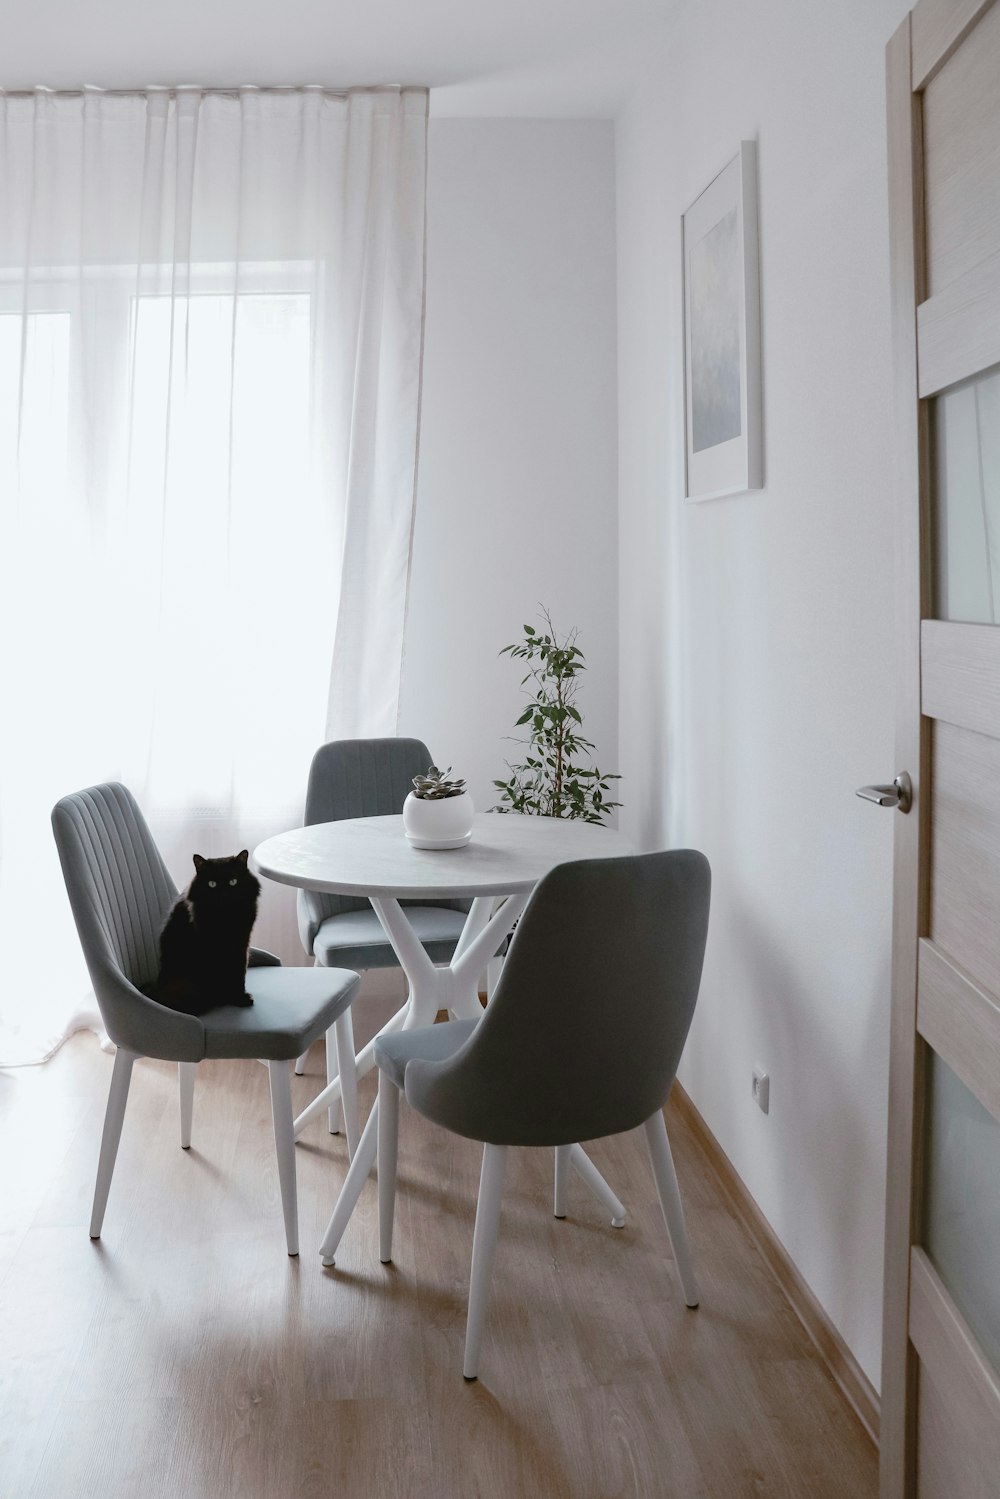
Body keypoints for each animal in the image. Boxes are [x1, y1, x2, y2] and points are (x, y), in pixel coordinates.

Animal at [147, 851, 260, 1013]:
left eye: (233, 882)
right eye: (212, 884)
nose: (223, 894)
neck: (226, 918)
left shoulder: (242, 944)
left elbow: (239, 973)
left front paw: (240, 997)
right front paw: (233, 998)